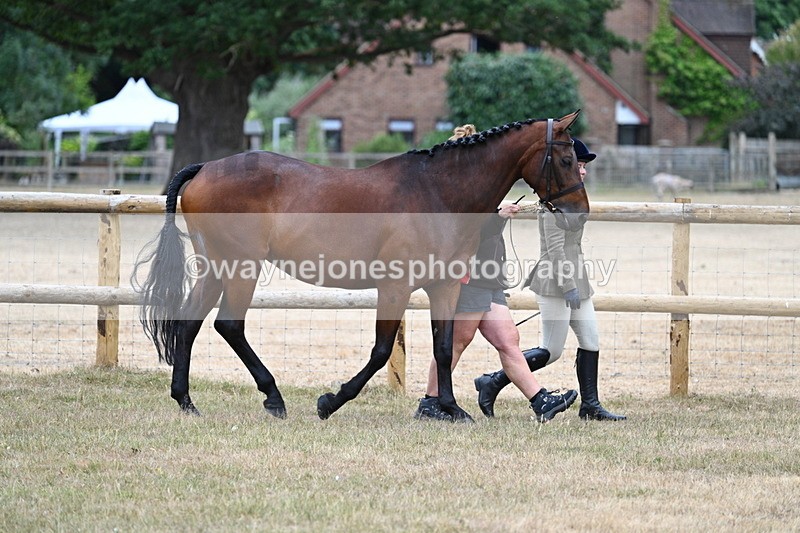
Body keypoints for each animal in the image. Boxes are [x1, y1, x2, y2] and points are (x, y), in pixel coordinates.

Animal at [132, 110, 589, 422]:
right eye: (567, 161)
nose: (579, 214)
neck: (439, 193)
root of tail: (205, 168)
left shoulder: (444, 287)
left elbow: (443, 348)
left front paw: (451, 408)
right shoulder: (395, 287)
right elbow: (381, 350)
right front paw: (330, 401)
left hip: (215, 267)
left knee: (189, 324)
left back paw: (186, 401)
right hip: (241, 268)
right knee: (229, 324)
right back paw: (273, 397)